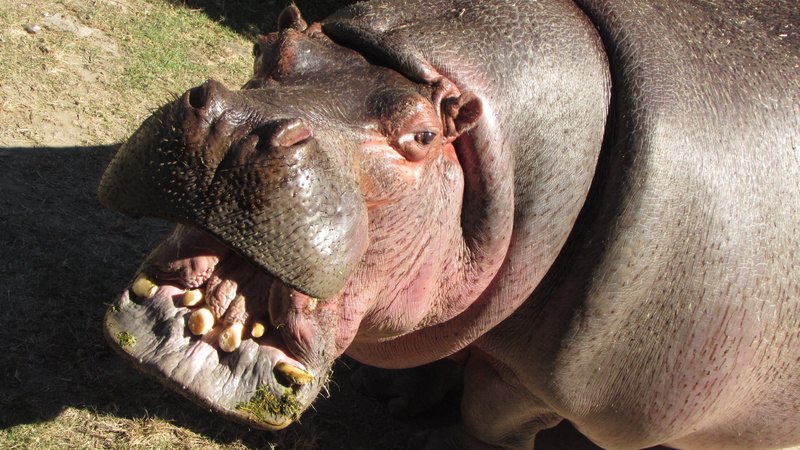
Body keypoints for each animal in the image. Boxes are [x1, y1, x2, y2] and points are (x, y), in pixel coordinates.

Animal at [98, 0, 800, 448]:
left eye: (423, 136)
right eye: (268, 47)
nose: (241, 126)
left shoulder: (537, 385)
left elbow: (488, 417)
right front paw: (394, 396)